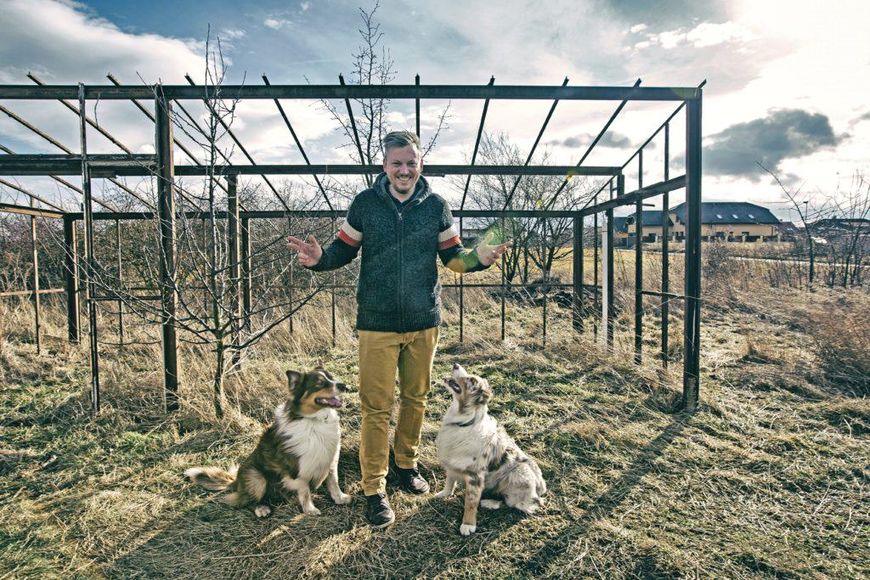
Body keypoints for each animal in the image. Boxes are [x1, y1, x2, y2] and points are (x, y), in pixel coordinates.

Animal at [184, 367, 352, 517]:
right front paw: (310, 509)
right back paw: (261, 508)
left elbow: (333, 482)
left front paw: (339, 497)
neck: (315, 421)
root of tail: (236, 482)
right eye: (320, 383)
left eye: (332, 378)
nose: (344, 385)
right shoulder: (297, 469)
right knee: (244, 502)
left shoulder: (330, 459)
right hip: (256, 477)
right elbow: (304, 491)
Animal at [434, 363, 546, 535]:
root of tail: (541, 487)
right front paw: (444, 494)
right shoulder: (452, 462)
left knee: (517, 505)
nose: (456, 365)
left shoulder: (475, 475)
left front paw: (468, 524)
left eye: (472, 381)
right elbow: (449, 481)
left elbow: (470, 502)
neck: (464, 421)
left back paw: (489, 503)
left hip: (520, 472)